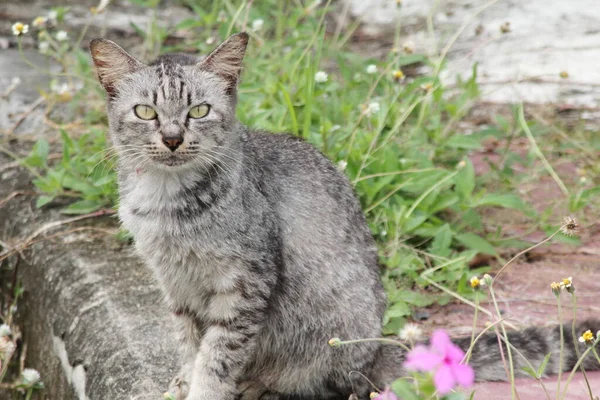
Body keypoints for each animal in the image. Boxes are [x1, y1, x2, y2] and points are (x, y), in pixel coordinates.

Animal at [90, 34, 600, 400]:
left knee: (332, 383)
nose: (173, 138)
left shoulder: (245, 282)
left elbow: (217, 356)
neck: (167, 202)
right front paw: (182, 379)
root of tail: (376, 349)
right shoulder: (175, 285)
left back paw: (261, 385)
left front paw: (204, 389)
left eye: (198, 110)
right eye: (145, 111)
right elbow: (189, 345)